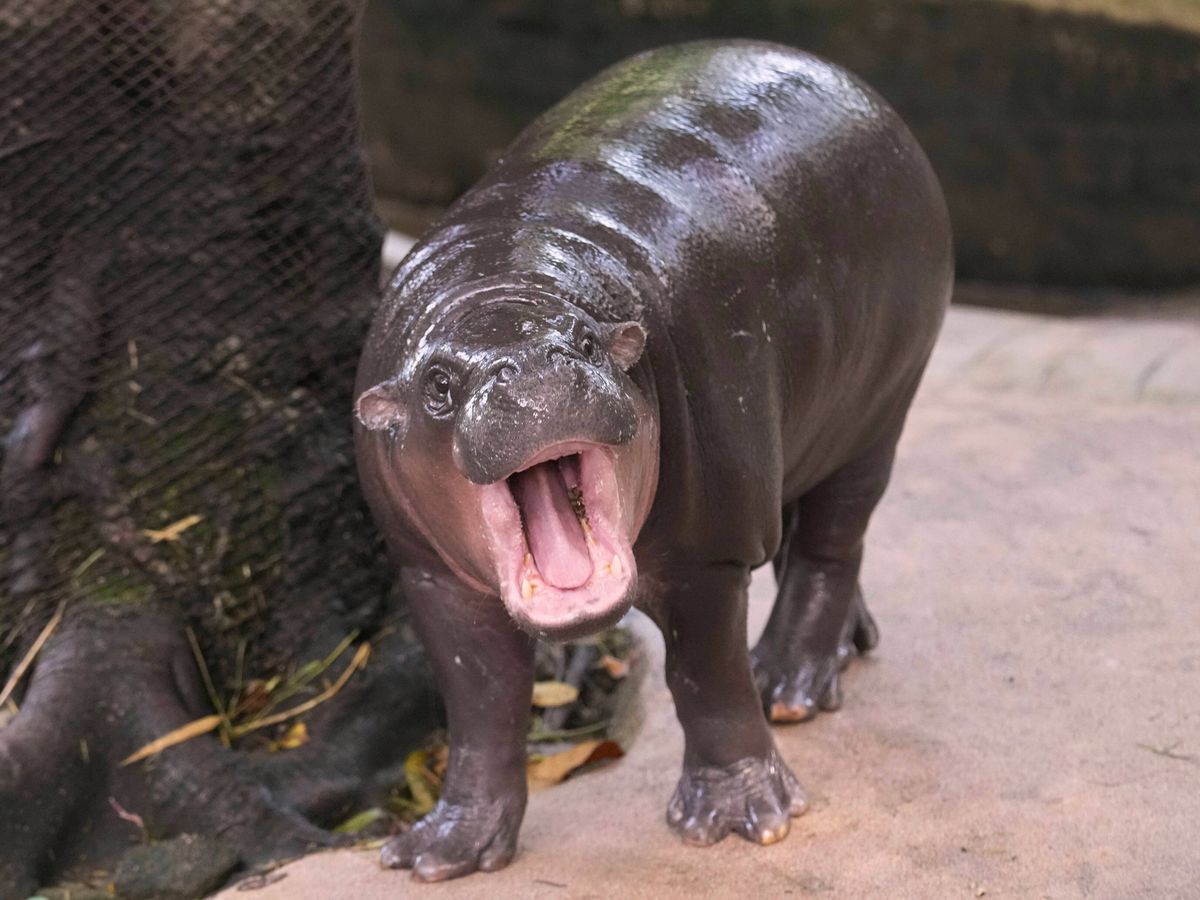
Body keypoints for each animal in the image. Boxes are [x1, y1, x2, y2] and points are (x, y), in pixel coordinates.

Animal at [354, 40, 952, 881]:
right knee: (805, 532)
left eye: (585, 340)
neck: (503, 280)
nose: (531, 369)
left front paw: (740, 818)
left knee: (833, 542)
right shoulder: (430, 576)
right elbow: (481, 703)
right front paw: (441, 851)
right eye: (438, 384)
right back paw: (840, 652)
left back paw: (789, 684)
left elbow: (705, 676)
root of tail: (845, 78)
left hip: (878, 408)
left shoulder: (708, 553)